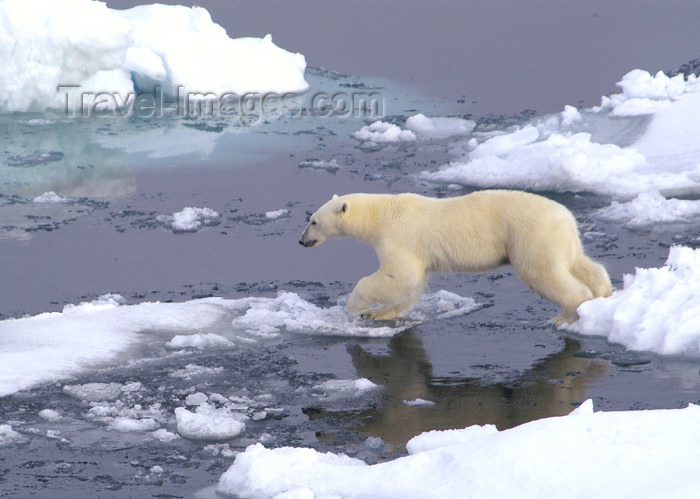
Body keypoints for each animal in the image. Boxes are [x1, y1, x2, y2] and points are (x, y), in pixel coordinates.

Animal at [298, 189, 608, 326]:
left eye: (313, 221)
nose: (301, 241)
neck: (382, 214)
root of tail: (566, 215)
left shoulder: (400, 236)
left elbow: (400, 274)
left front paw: (355, 306)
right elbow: (412, 284)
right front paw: (379, 313)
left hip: (530, 235)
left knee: (542, 272)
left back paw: (565, 315)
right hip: (561, 238)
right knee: (580, 264)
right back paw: (603, 292)